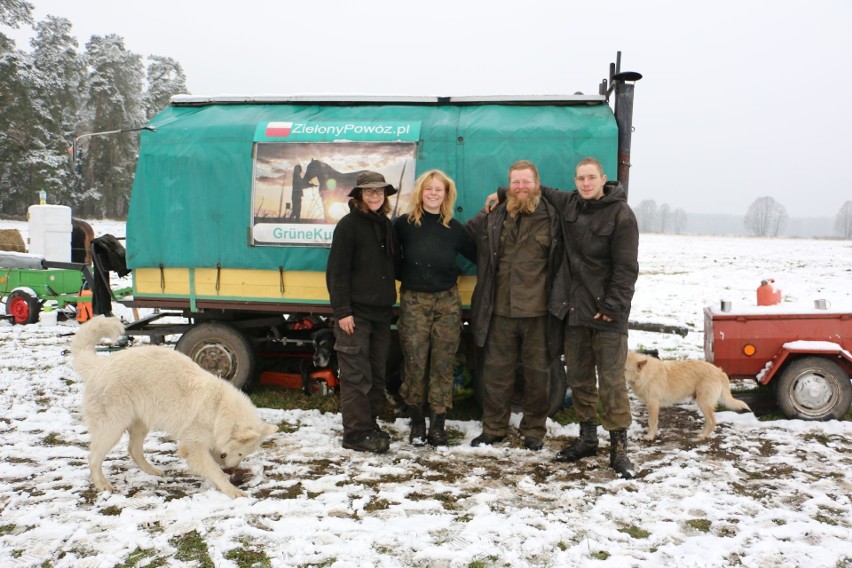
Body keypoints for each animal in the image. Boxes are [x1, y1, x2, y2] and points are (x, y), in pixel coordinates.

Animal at [70, 318, 276, 500]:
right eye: (241, 453)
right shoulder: (193, 446)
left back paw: (152, 471)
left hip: (140, 424)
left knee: (133, 450)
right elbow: (214, 470)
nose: (232, 469)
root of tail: (100, 365)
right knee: (93, 457)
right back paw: (102, 484)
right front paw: (232, 490)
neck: (218, 410)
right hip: (113, 428)